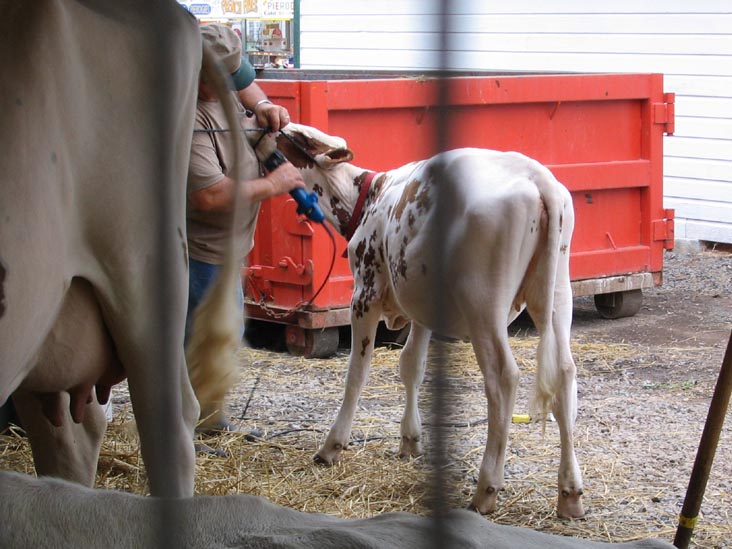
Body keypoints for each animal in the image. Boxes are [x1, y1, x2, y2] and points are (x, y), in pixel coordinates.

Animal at [253, 123, 584, 518]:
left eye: (288, 133)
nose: (251, 120)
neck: (368, 198)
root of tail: (535, 175)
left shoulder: (364, 294)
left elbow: (356, 374)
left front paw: (332, 446)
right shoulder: (422, 306)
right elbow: (411, 365)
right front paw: (410, 440)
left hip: (483, 302)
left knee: (504, 377)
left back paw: (486, 489)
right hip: (557, 293)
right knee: (564, 372)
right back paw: (570, 493)